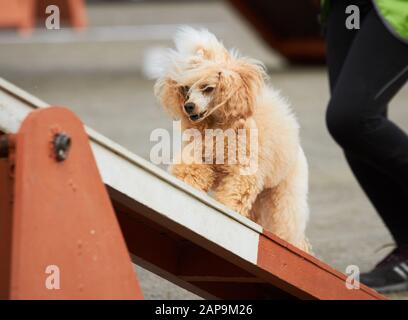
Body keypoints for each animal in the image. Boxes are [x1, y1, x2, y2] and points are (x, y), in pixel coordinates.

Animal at [153, 26, 310, 252]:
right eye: (186, 89)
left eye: (208, 88)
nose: (188, 106)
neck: (220, 127)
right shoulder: (200, 157)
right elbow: (190, 171)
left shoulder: (243, 173)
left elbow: (232, 197)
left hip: (284, 196)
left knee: (287, 226)